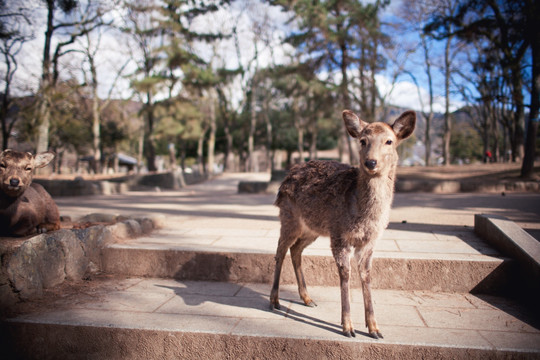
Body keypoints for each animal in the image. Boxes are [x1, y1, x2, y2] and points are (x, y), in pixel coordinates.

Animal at [270, 109, 418, 338]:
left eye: (389, 141)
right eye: (363, 140)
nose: (371, 163)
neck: (364, 217)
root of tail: (285, 180)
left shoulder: (369, 242)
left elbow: (366, 276)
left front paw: (374, 328)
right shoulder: (340, 235)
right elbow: (345, 275)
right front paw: (347, 327)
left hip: (313, 228)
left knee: (296, 250)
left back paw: (307, 298)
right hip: (289, 217)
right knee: (280, 250)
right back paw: (274, 301)